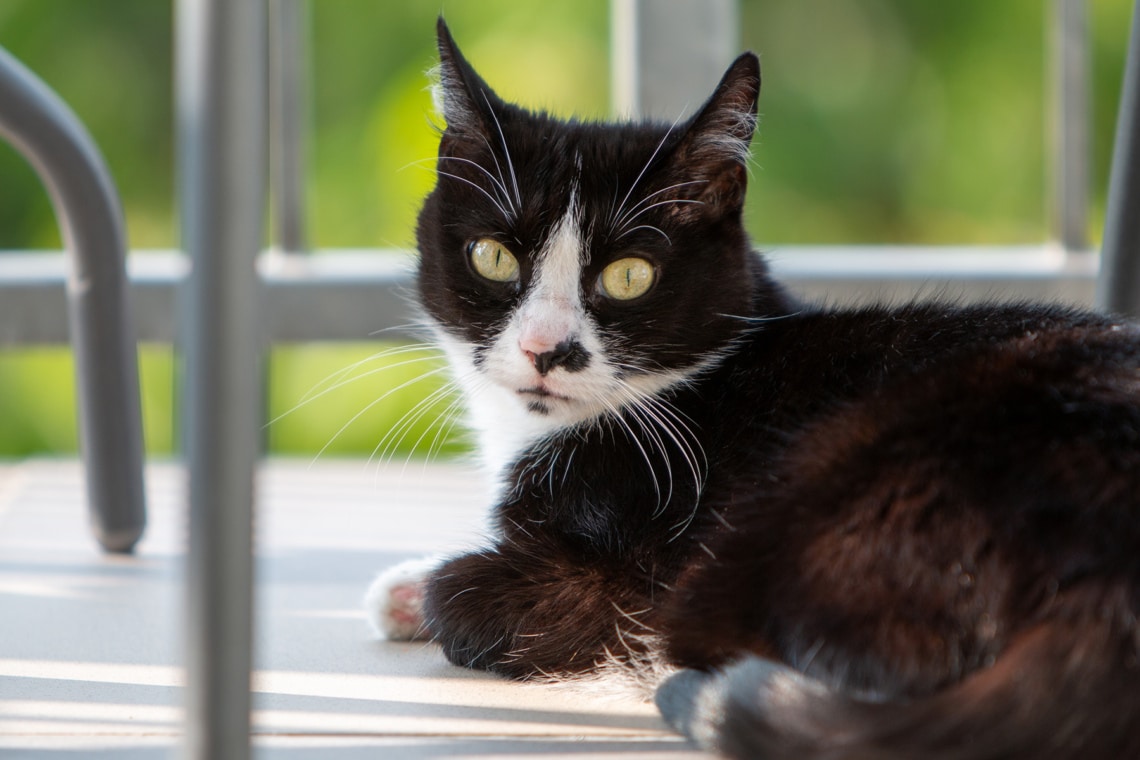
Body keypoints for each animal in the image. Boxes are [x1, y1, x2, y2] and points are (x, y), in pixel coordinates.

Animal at [367, 17, 1140, 760]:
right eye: (494, 257)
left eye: (629, 275)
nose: (544, 349)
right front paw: (401, 587)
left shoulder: (633, 569)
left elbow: (470, 594)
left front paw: (419, 590)